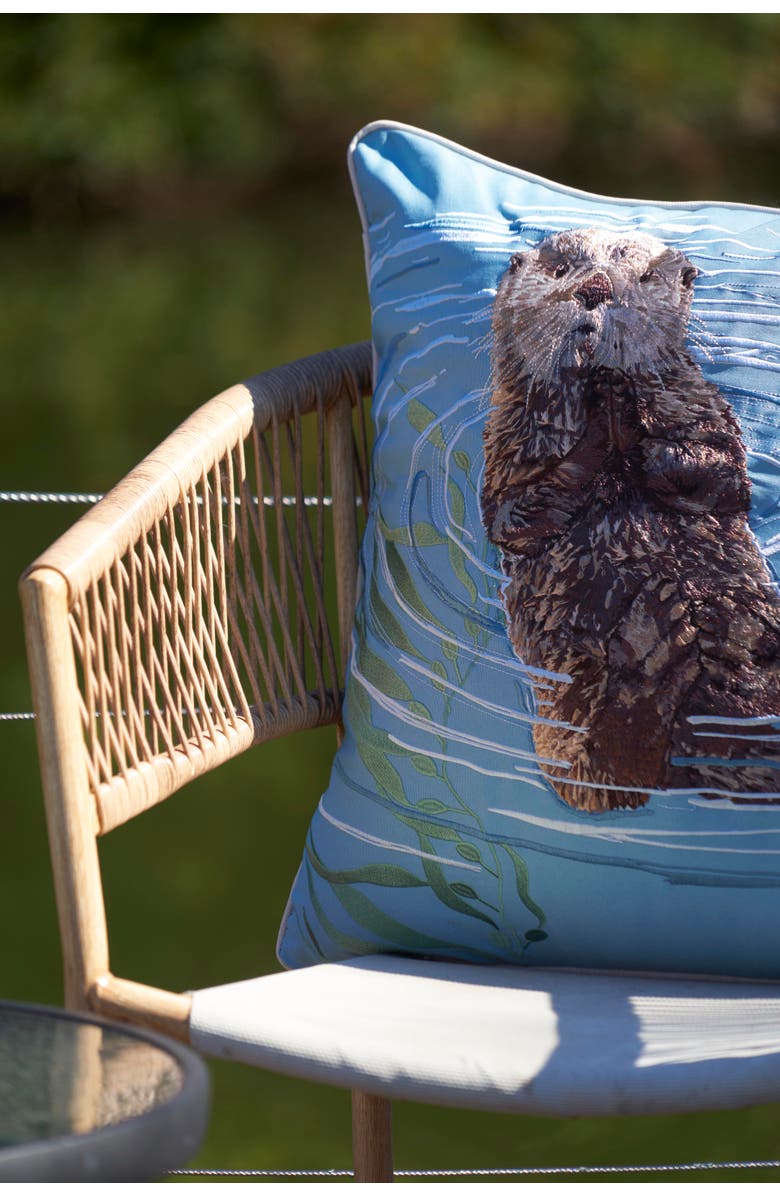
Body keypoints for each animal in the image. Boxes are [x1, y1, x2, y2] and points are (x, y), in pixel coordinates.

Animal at [481, 227, 780, 812]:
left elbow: (719, 476)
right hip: (571, 710)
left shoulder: (703, 407)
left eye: (642, 276)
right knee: (602, 780)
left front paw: (629, 414)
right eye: (559, 271)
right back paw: (651, 649)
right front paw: (603, 418)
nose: (596, 289)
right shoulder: (505, 442)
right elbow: (514, 515)